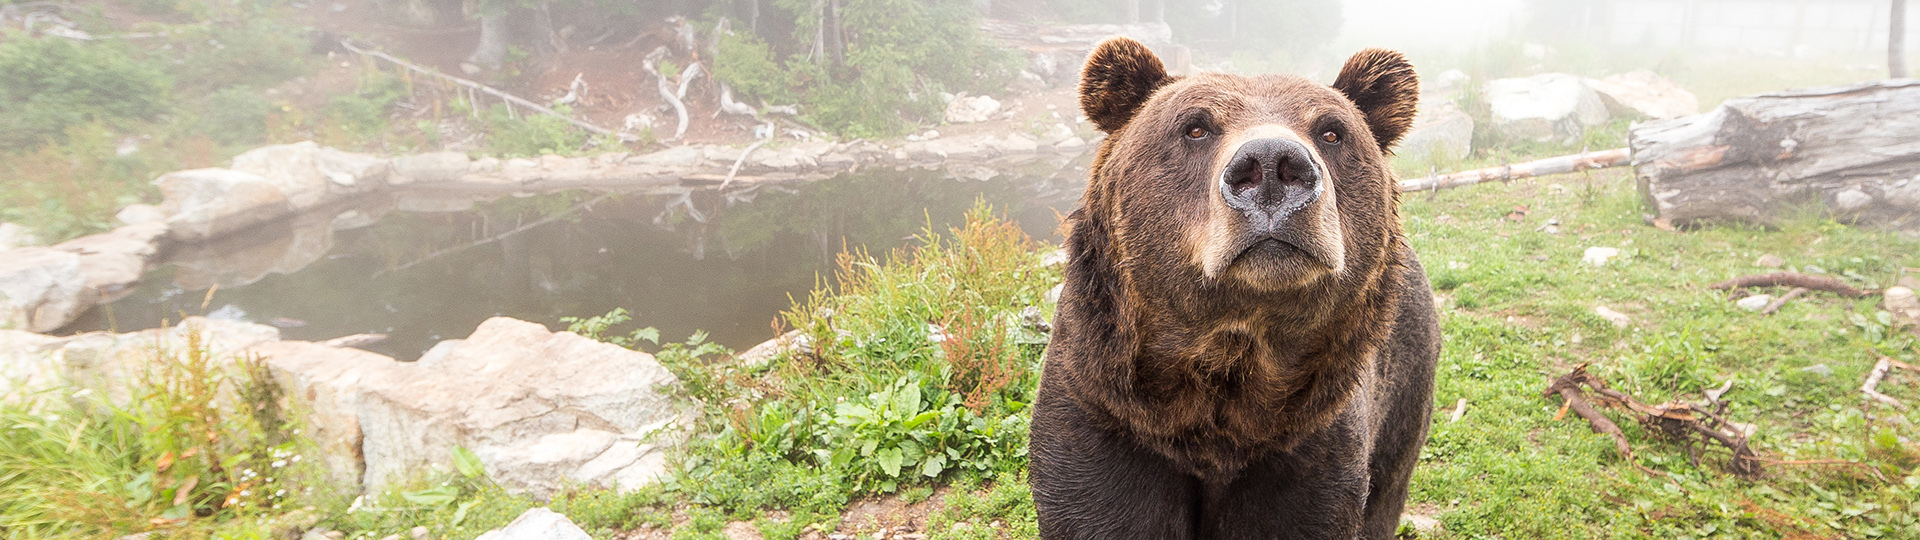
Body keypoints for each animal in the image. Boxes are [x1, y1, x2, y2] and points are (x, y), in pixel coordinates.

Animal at [1036, 38, 1443, 538]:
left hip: (1404, 378)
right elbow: (1102, 508)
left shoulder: (1310, 439)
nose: (1271, 165)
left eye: (1332, 132)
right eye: (1195, 127)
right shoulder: (1101, 409)